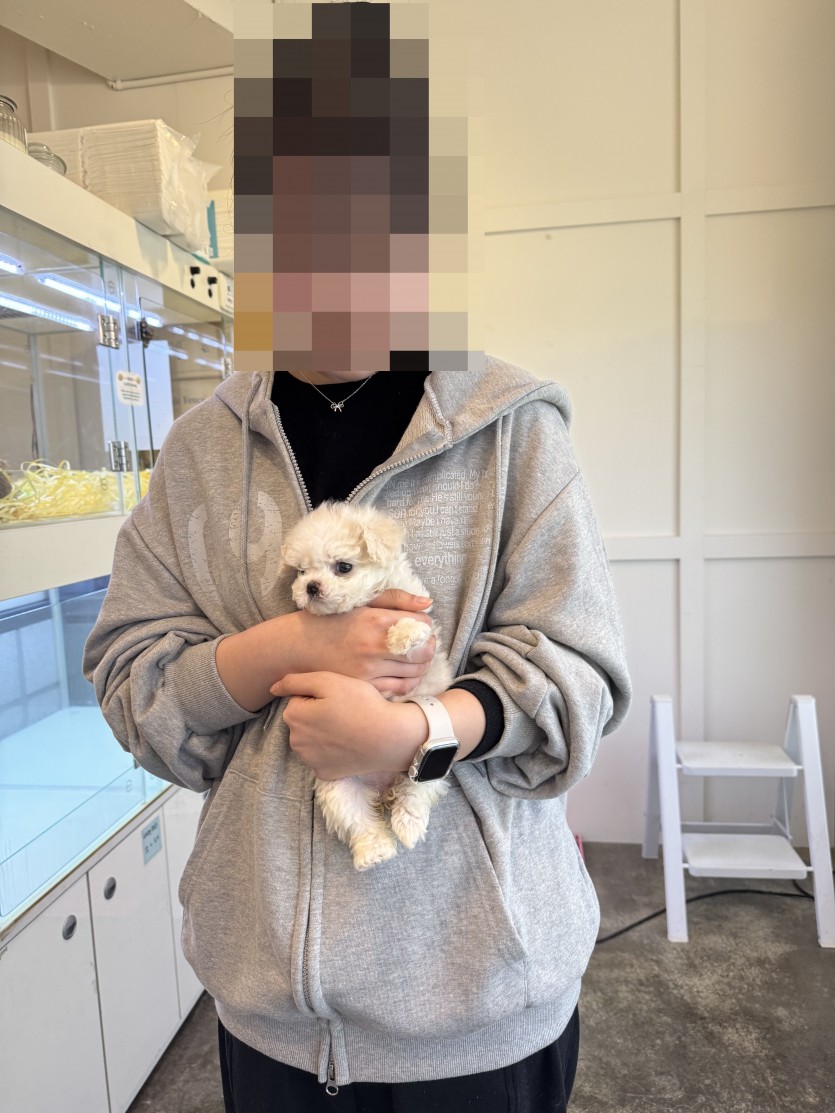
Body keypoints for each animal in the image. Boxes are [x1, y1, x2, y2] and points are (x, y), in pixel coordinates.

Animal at [280, 500, 453, 870]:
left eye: (343, 567)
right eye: (301, 571)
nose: (310, 586)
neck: (364, 602)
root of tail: (383, 787)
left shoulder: (415, 608)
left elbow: (414, 628)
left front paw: (403, 636)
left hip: (424, 768)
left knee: (415, 794)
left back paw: (407, 825)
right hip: (338, 785)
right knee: (359, 821)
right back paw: (375, 851)